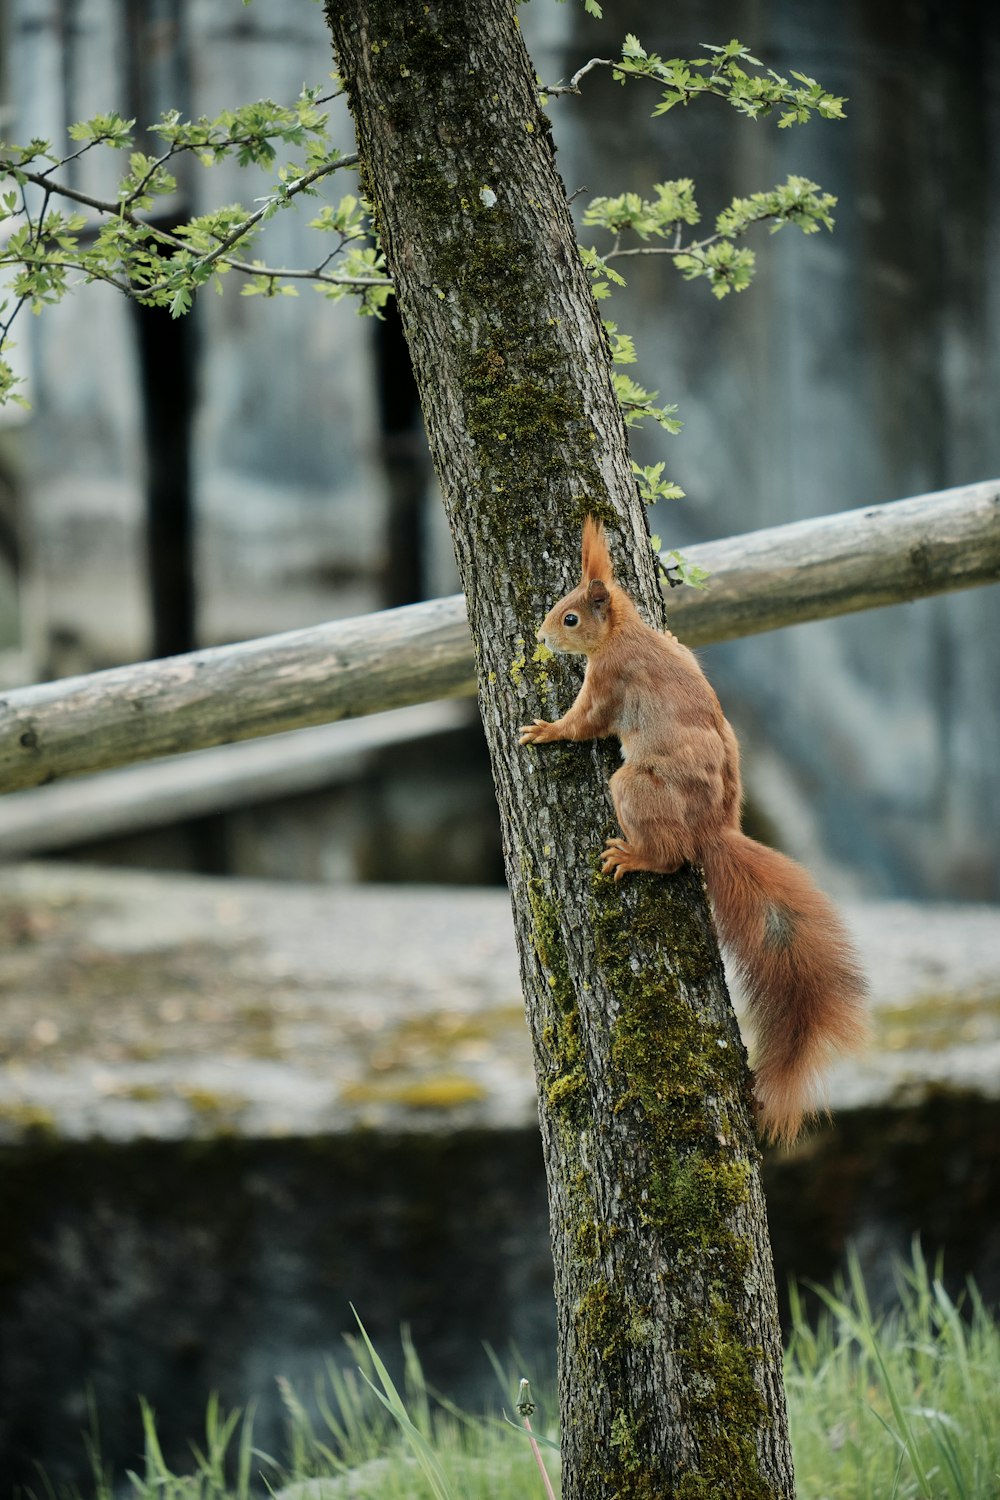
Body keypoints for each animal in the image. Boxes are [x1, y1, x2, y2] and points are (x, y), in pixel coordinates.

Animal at [521, 522, 863, 1140]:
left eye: (571, 619)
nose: (542, 636)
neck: (625, 633)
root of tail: (714, 830)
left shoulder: (609, 680)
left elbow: (584, 723)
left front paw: (546, 730)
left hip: (636, 787)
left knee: (673, 855)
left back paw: (634, 857)